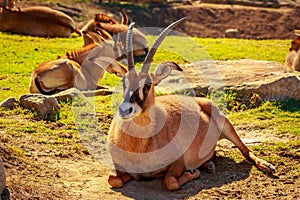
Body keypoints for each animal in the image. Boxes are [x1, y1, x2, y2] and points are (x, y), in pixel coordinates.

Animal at [91, 18, 276, 191]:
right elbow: (113, 180)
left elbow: (170, 182)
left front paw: (192, 173)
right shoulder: (119, 167)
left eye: (148, 84)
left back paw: (266, 166)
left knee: (245, 150)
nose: (125, 110)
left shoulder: (178, 162)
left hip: (226, 125)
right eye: (124, 82)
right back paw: (209, 164)